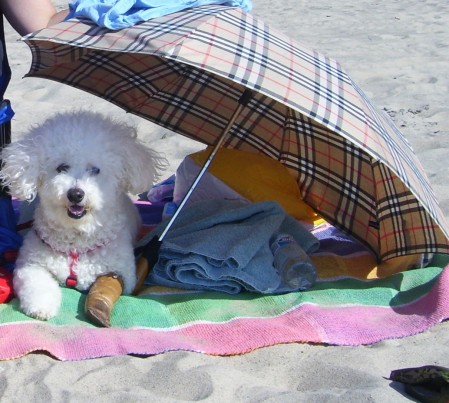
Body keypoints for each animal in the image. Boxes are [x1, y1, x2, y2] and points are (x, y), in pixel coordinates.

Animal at [0, 110, 166, 322]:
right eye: (62, 167)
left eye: (95, 170)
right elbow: (37, 284)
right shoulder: (31, 264)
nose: (75, 194)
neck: (76, 243)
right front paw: (41, 306)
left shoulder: (123, 274)